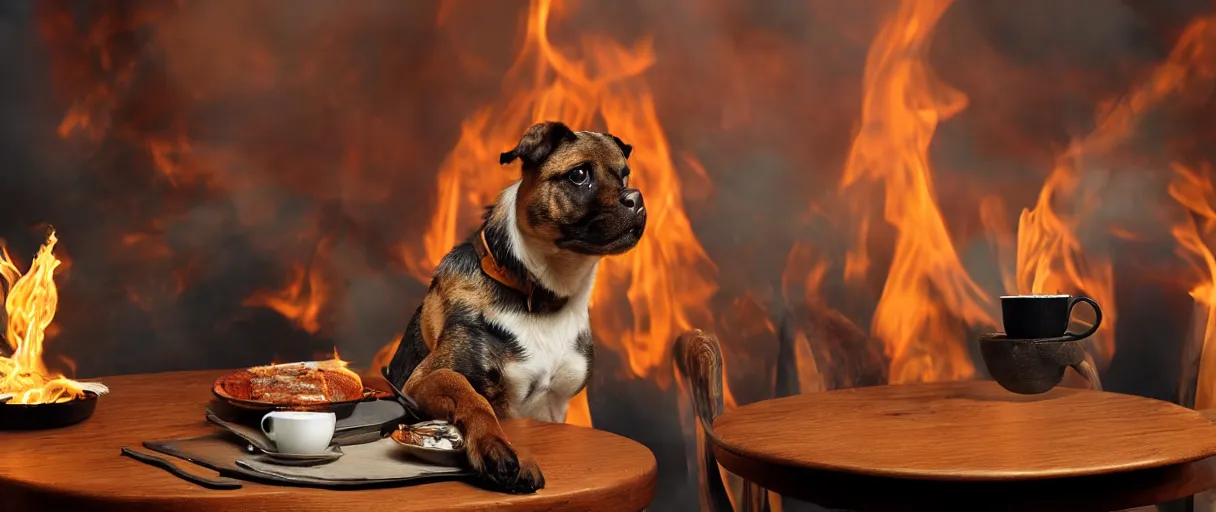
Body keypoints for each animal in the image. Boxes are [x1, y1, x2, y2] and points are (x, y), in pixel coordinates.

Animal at [386, 119, 646, 491]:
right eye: (579, 175)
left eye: (624, 175)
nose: (637, 198)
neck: (540, 298)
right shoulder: (426, 379)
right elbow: (471, 396)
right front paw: (495, 446)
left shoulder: (554, 405)